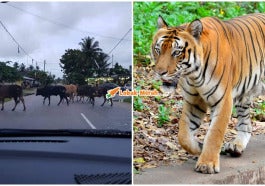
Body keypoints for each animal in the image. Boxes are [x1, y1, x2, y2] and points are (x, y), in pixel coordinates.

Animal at [151, 13, 264, 174]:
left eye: (176, 52)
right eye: (158, 50)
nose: (160, 73)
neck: (194, 75)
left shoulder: (223, 100)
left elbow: (215, 133)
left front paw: (207, 164)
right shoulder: (194, 100)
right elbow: (183, 135)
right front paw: (199, 148)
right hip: (244, 94)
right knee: (246, 123)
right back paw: (236, 146)